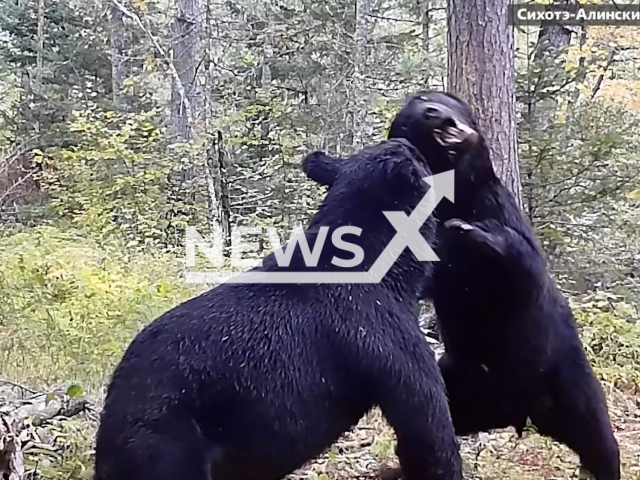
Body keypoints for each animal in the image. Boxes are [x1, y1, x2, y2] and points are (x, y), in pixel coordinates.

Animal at [94, 138, 464, 480]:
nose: (409, 140)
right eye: (418, 155)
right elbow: (426, 425)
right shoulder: (386, 333)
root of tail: (113, 410)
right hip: (167, 443)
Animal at [384, 93, 620, 480]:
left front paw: (473, 234)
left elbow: (519, 265)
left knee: (598, 439)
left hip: (567, 378)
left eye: (433, 97)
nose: (434, 114)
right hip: (460, 382)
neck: (455, 196)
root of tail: (517, 413)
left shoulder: (499, 210)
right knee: (426, 429)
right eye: (412, 114)